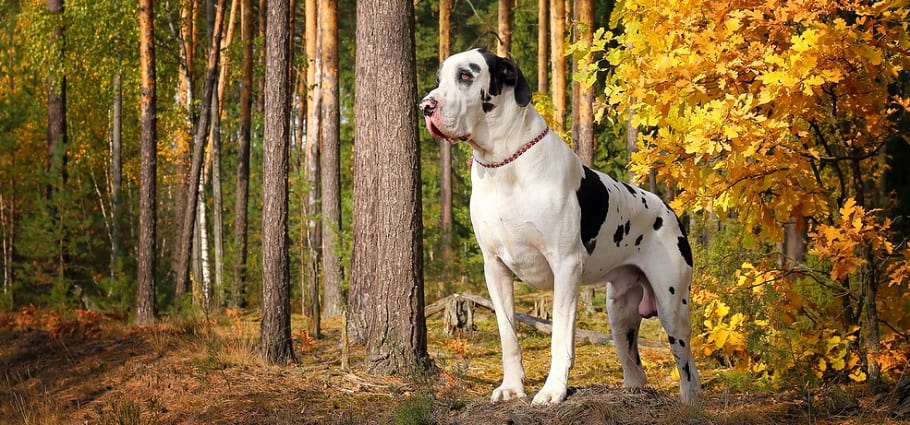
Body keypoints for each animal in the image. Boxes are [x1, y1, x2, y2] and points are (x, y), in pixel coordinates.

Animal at [418, 49, 700, 404]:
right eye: (438, 79)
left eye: (466, 76)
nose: (425, 106)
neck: (504, 166)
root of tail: (670, 210)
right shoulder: (494, 268)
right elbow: (508, 336)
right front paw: (512, 387)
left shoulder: (565, 266)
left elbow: (560, 340)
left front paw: (553, 390)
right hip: (619, 312)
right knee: (635, 368)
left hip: (672, 306)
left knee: (688, 365)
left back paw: (689, 401)